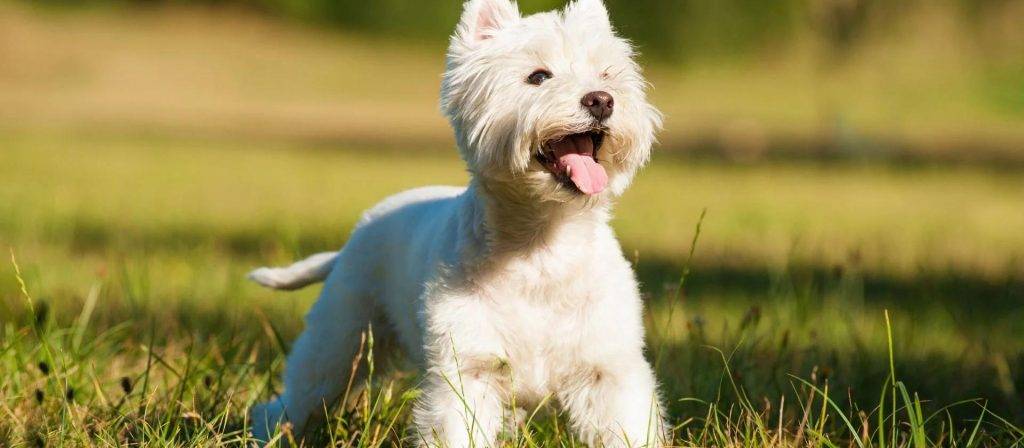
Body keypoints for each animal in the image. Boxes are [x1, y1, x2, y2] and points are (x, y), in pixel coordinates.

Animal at [247, 0, 663, 443]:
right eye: (538, 76)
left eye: (607, 74)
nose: (601, 100)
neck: (542, 247)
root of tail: (353, 238)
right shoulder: (466, 372)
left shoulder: (608, 372)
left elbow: (628, 428)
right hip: (342, 339)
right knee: (296, 397)